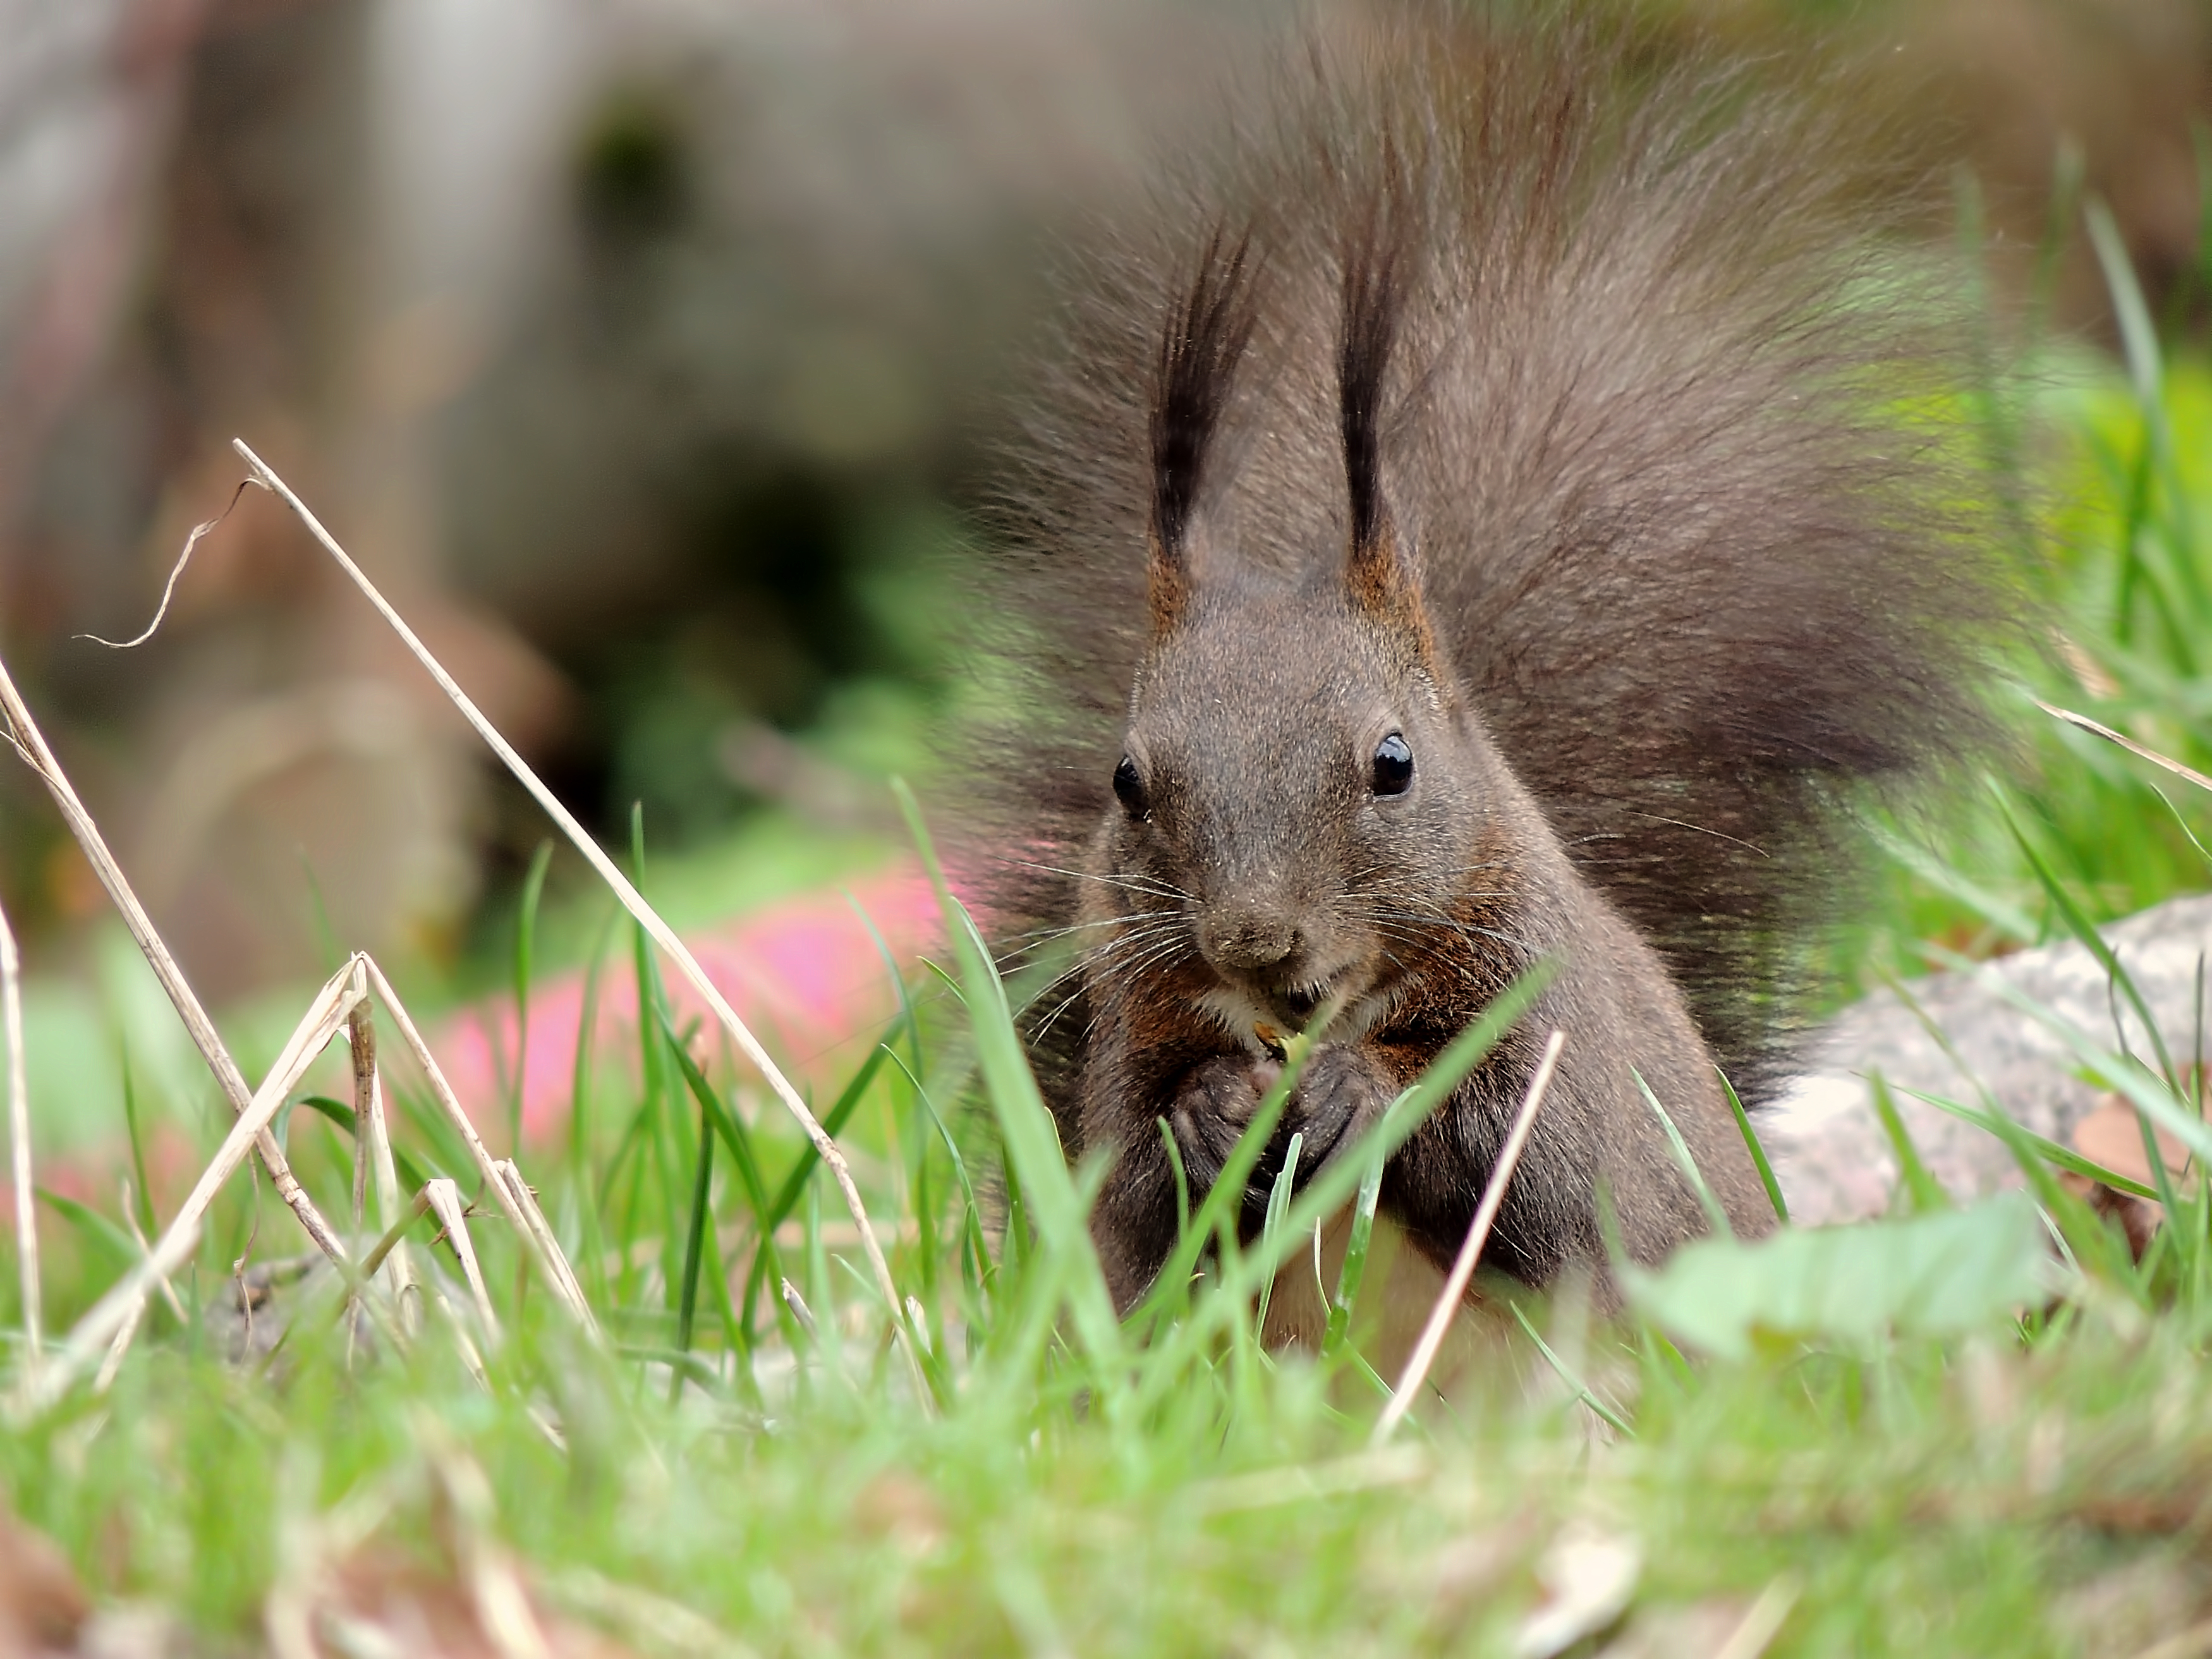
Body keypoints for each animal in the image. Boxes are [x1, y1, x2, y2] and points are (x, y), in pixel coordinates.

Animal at [956, 9, 2026, 1310]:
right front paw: (1211, 1112)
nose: (1258, 944)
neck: (1318, 1019)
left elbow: (1535, 1173)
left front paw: (1362, 1092)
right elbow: (1138, 1207)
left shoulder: (1553, 1029)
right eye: (1126, 782)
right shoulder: (1127, 1037)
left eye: (1394, 762)